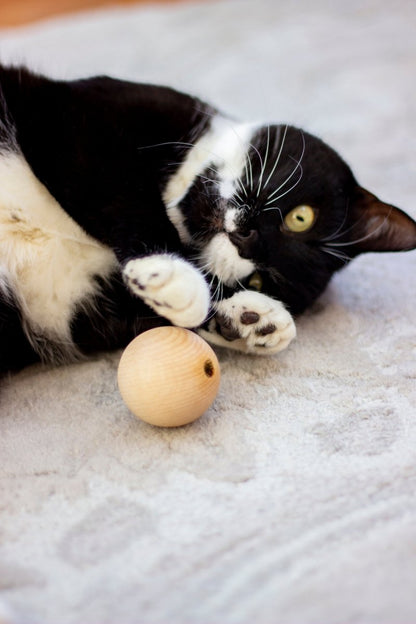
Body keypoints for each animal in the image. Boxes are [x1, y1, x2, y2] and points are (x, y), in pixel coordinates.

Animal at [0, 65, 416, 372]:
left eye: (258, 279)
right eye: (302, 218)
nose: (247, 238)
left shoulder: (71, 310)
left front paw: (252, 319)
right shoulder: (79, 116)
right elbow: (117, 189)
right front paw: (170, 273)